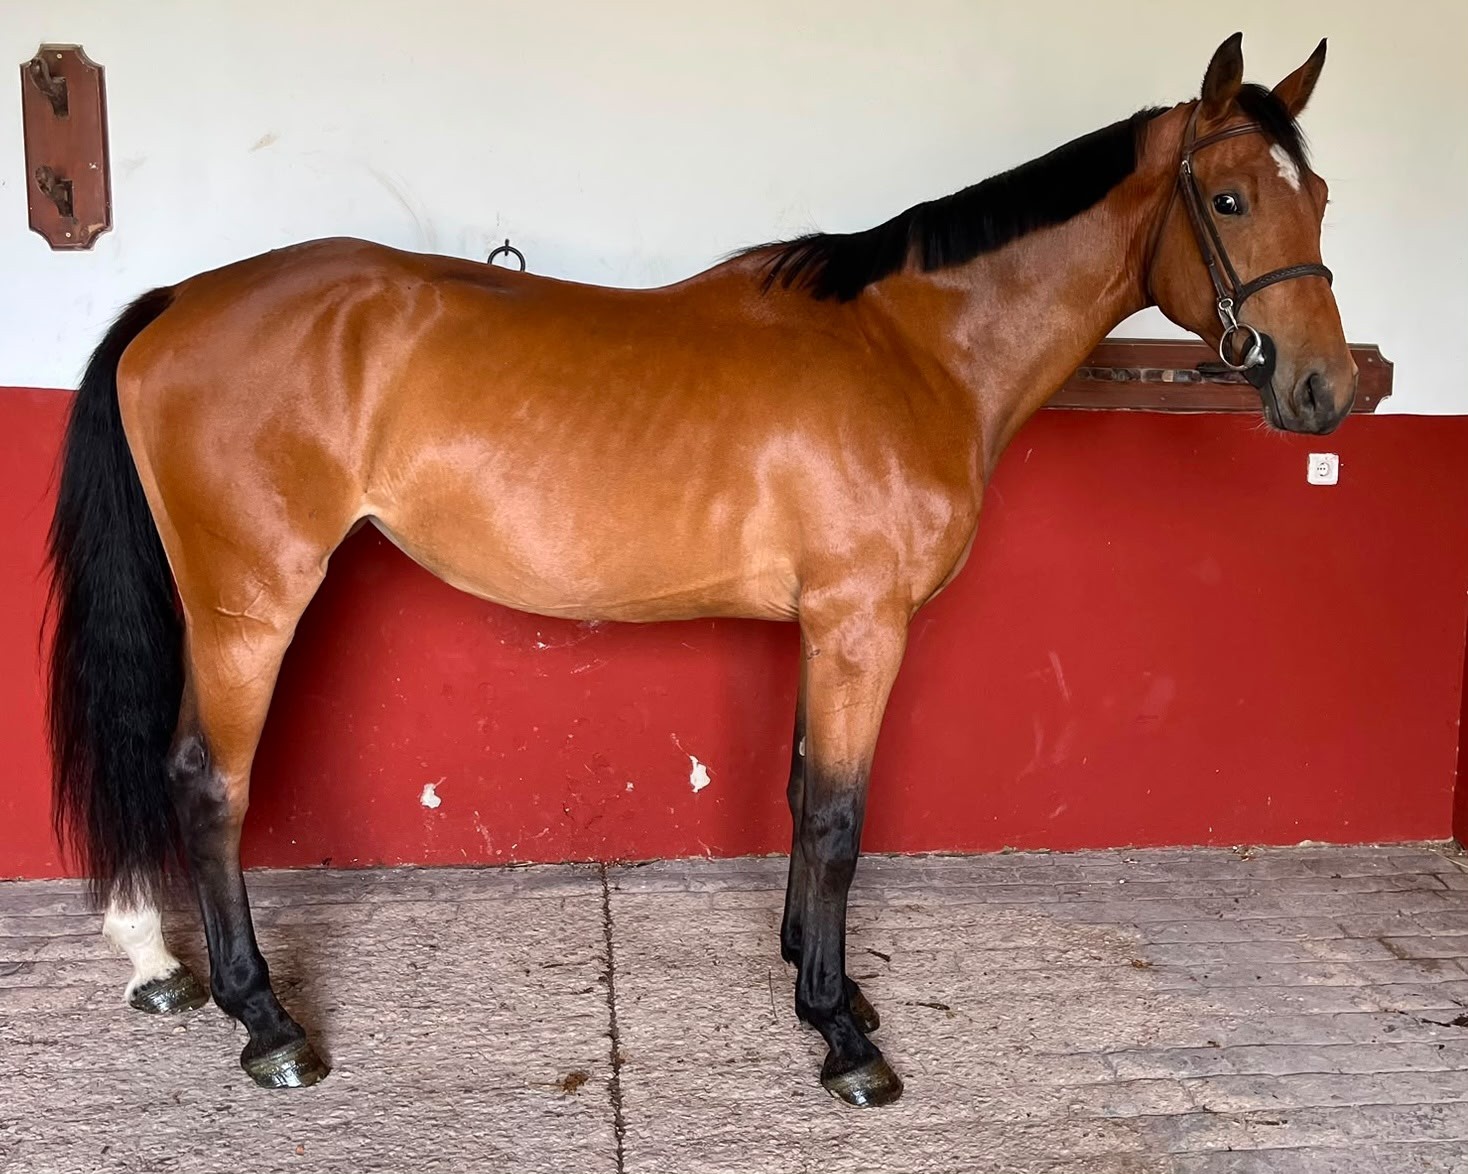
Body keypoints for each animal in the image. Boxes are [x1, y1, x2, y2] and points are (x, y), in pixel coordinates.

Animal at [46, 33, 1351, 1107]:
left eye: (1324, 198)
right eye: (1229, 198)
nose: (1326, 389)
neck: (914, 351)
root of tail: (182, 298)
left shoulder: (825, 628)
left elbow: (798, 791)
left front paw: (825, 983)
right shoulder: (861, 625)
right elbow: (837, 815)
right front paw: (840, 1036)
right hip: (250, 602)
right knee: (209, 783)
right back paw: (267, 1023)